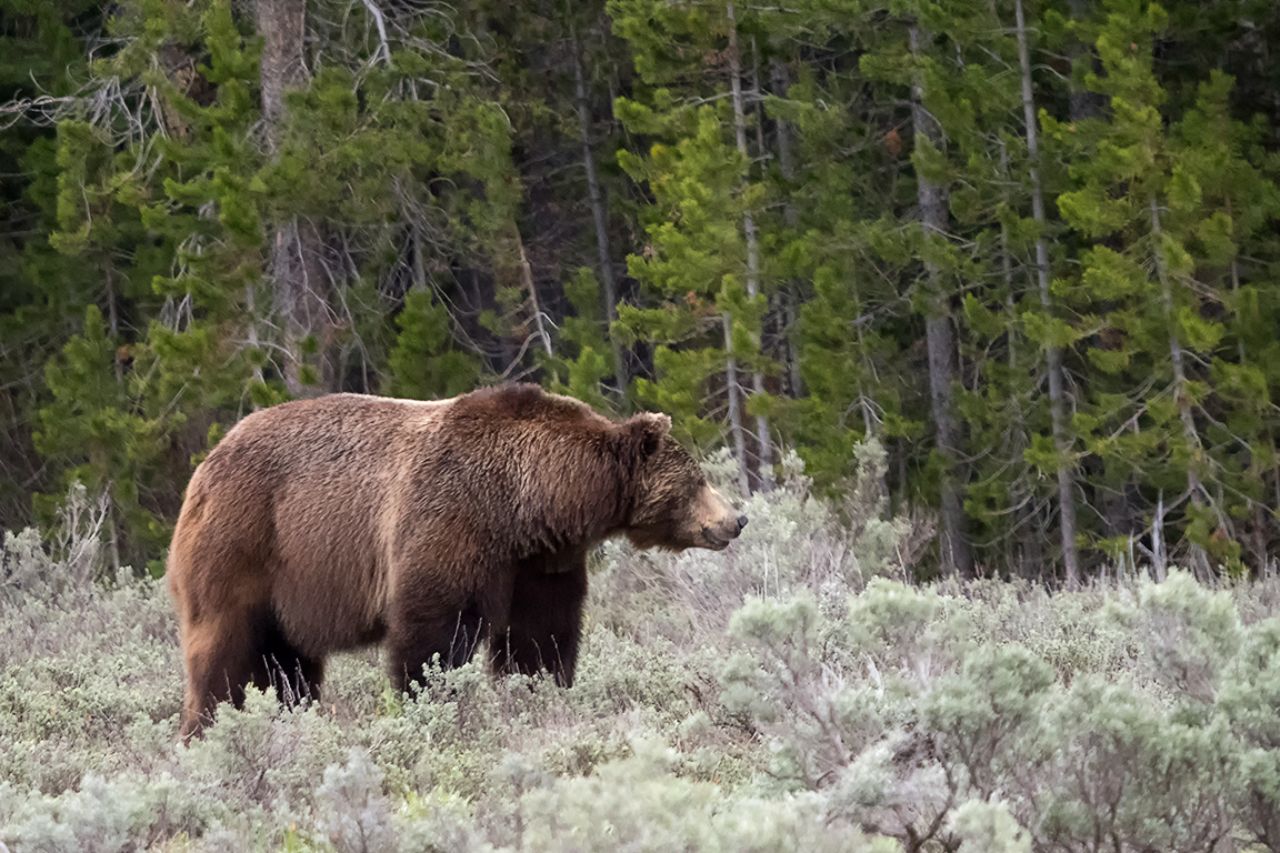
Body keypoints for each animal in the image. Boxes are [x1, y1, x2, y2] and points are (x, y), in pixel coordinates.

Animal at [167, 383, 746, 739]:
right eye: (697, 480)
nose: (736, 519)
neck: (530, 500)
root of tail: (204, 466)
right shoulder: (452, 521)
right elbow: (436, 632)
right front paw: (431, 703)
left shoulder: (537, 561)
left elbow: (540, 633)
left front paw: (536, 690)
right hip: (247, 544)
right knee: (225, 649)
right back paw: (206, 729)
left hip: (294, 586)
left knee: (287, 663)